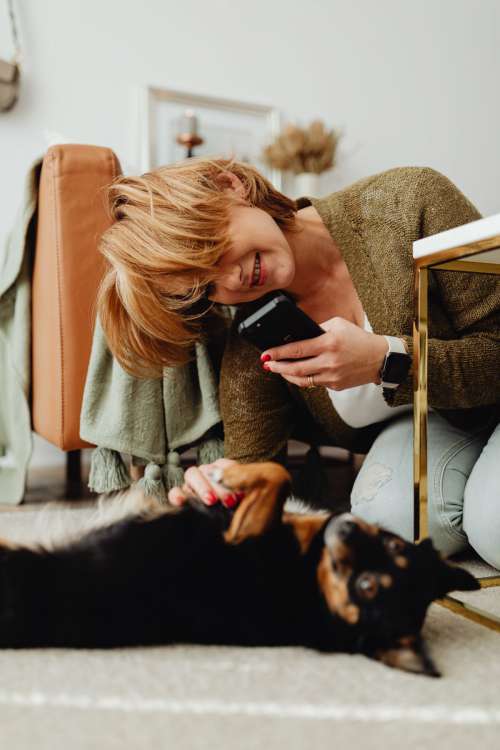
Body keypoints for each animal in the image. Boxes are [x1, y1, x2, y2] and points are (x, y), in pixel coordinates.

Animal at [0, 464, 476, 676]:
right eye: (394, 544)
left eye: (367, 586)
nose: (345, 526)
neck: (311, 583)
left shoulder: (244, 535)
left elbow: (279, 475)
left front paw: (229, 475)